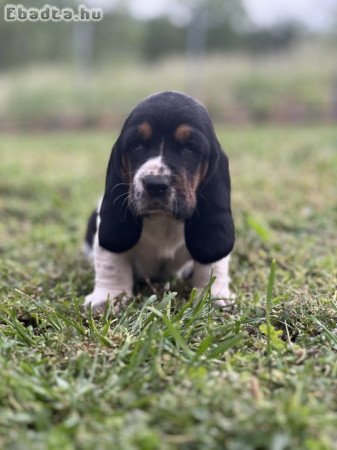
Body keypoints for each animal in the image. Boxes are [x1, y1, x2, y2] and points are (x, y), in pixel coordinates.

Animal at [84, 90, 234, 312]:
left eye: (190, 147)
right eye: (137, 145)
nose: (155, 184)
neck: (164, 221)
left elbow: (213, 266)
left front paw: (214, 296)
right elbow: (111, 261)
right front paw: (108, 296)